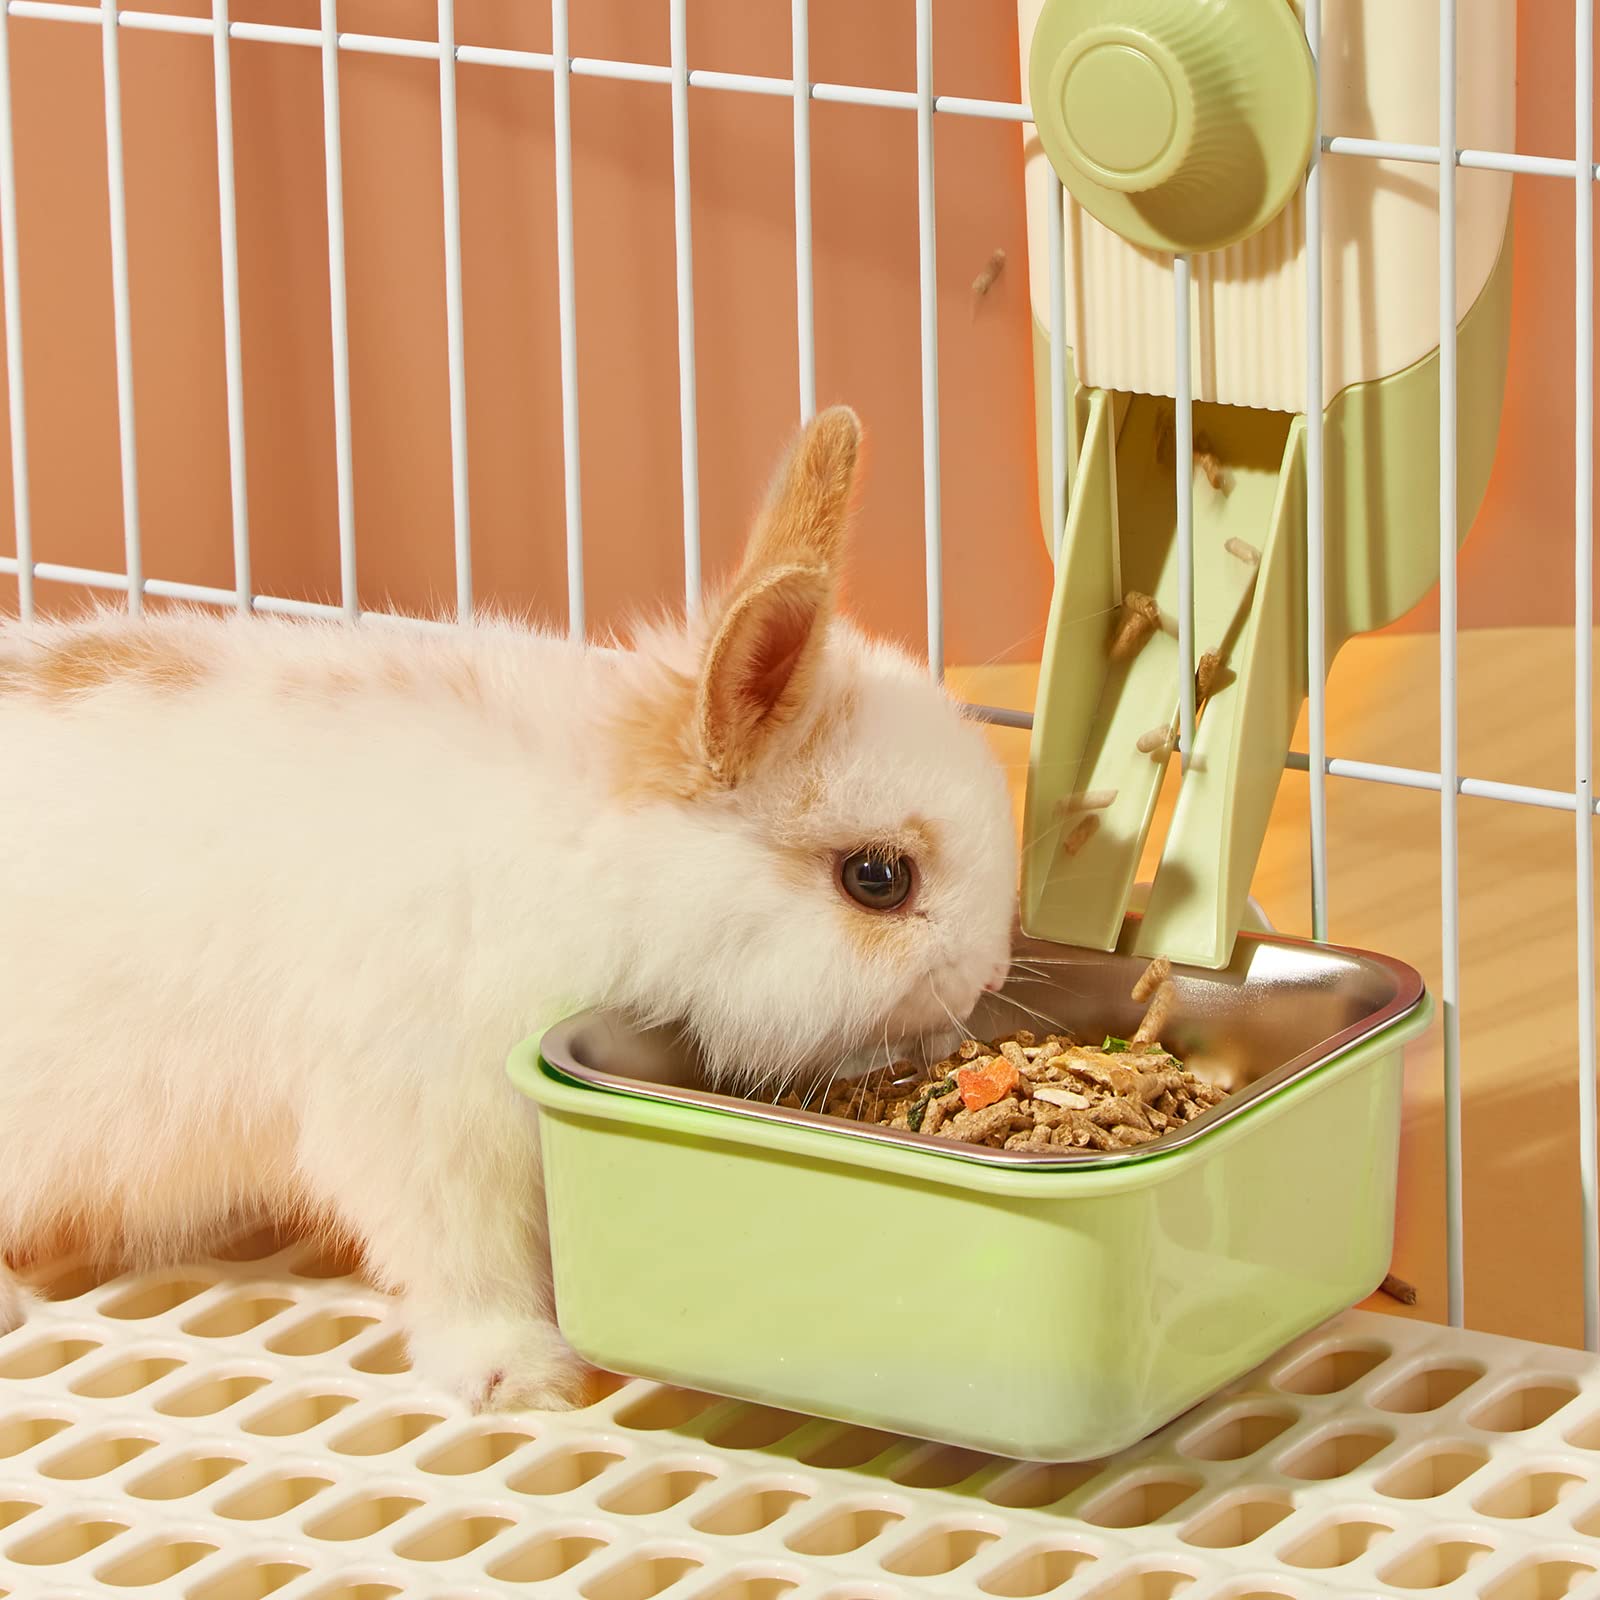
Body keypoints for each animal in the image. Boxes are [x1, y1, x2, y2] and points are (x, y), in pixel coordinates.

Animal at [0, 405, 1019, 1411]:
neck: (596, 862)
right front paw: (521, 1375)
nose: (989, 976)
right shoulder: (423, 1119)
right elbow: (462, 1260)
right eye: (878, 879)